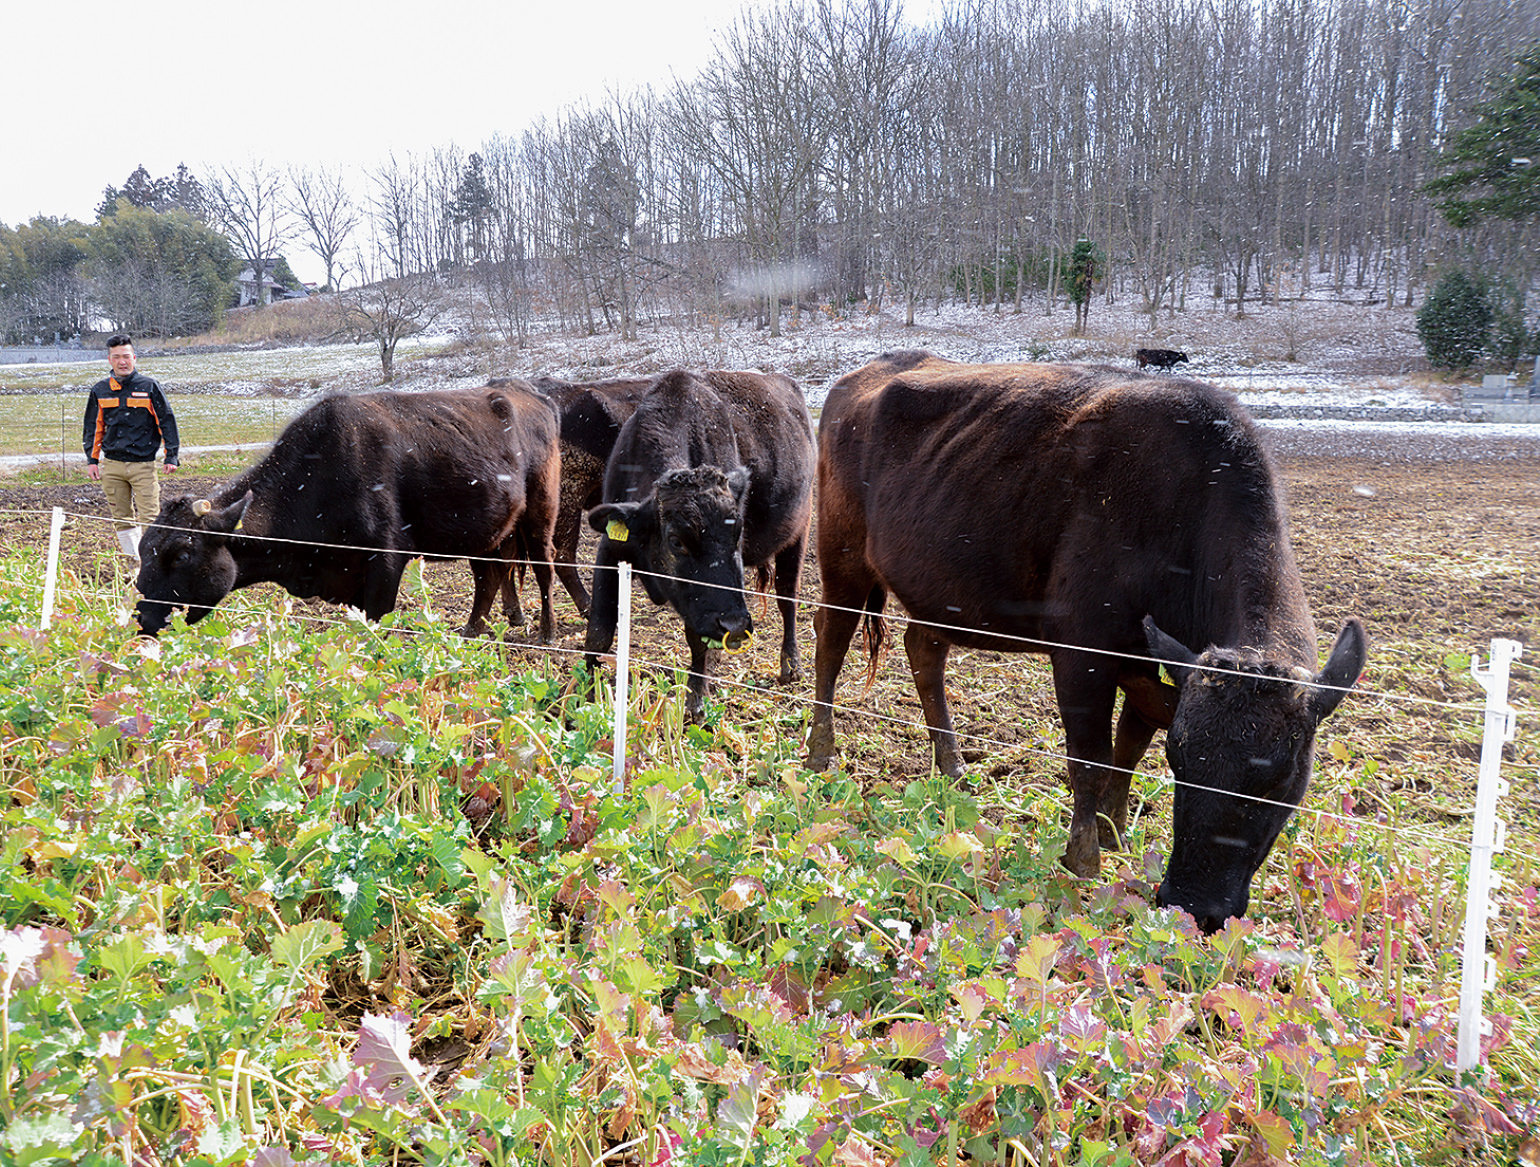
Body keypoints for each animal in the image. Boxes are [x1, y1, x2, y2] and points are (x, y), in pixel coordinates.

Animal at [135, 383, 563, 640]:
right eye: (143, 550)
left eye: (182, 554)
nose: (142, 619)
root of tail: (527, 393)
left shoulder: (386, 562)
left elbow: (375, 627)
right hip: (489, 529)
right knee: (489, 575)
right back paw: (473, 630)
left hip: (541, 510)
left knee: (544, 566)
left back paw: (546, 631)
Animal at [579, 369, 819, 717]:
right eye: (676, 541)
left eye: (737, 535)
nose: (735, 624)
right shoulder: (610, 549)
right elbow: (598, 632)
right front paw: (582, 695)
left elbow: (696, 639)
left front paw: (696, 701)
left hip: (798, 533)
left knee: (788, 597)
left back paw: (791, 665)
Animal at [800, 347, 1367, 929]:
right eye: (1181, 762)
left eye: (1280, 781)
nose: (1191, 904)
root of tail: (864, 373)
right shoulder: (1082, 650)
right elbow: (1091, 756)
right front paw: (1084, 858)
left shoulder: (1150, 654)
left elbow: (1133, 738)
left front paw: (1116, 829)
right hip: (842, 556)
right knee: (831, 639)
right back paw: (820, 750)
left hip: (940, 587)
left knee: (923, 652)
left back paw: (954, 769)